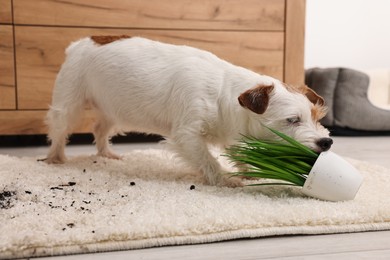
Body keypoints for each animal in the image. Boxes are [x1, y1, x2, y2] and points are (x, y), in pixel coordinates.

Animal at [45, 36, 332, 187]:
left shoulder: (232, 133)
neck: (223, 93)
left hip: (113, 108)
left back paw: (106, 153)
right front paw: (224, 179)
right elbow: (207, 158)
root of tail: (80, 44)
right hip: (68, 102)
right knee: (59, 130)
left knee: (100, 128)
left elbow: (238, 152)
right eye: (292, 120)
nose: (326, 142)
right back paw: (55, 158)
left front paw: (250, 171)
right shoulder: (187, 133)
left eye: (317, 118)